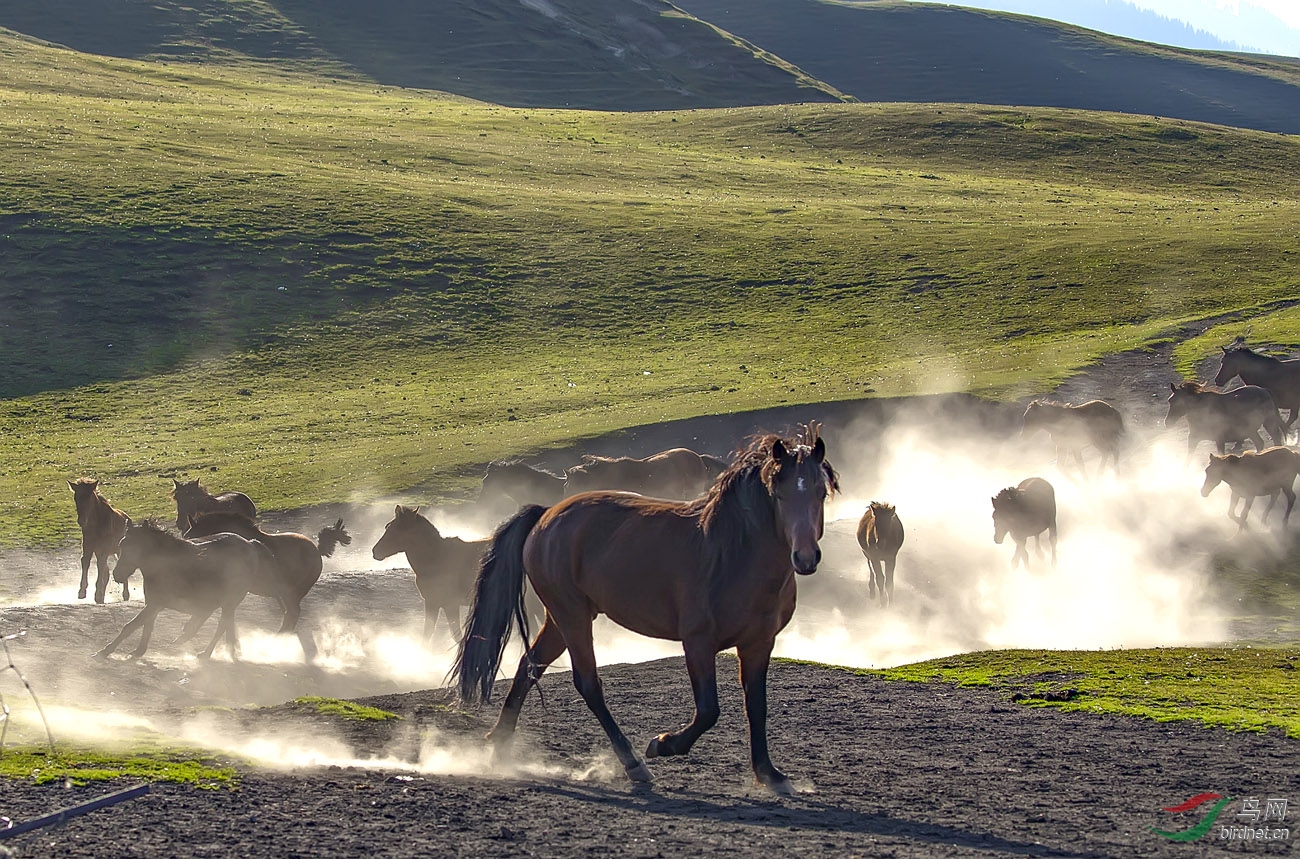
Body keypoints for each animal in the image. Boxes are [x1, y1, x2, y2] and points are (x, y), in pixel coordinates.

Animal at [94, 519, 273, 660]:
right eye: (122, 544)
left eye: (138, 546)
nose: (118, 575)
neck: (163, 565)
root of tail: (250, 544)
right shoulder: (152, 603)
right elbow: (146, 626)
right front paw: (139, 651)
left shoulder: (156, 604)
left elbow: (131, 626)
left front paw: (104, 652)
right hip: (227, 603)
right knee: (227, 626)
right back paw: (229, 650)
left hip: (229, 602)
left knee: (221, 626)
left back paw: (206, 653)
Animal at [183, 506, 353, 652]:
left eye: (190, 537)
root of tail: (317, 551)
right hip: (286, 595)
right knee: (289, 614)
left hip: (291, 593)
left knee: (292, 613)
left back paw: (277, 639)